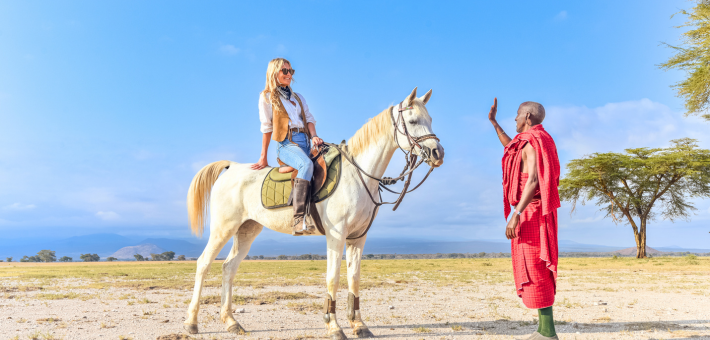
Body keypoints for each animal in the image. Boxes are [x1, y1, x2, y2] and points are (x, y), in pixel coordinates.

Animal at [188, 87, 444, 338]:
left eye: (430, 119)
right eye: (412, 121)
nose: (437, 153)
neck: (358, 175)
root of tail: (231, 167)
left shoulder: (358, 238)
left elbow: (354, 279)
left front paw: (359, 325)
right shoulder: (336, 236)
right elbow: (333, 279)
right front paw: (333, 326)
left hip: (247, 230)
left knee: (228, 268)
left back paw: (231, 322)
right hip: (223, 228)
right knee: (203, 264)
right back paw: (191, 323)